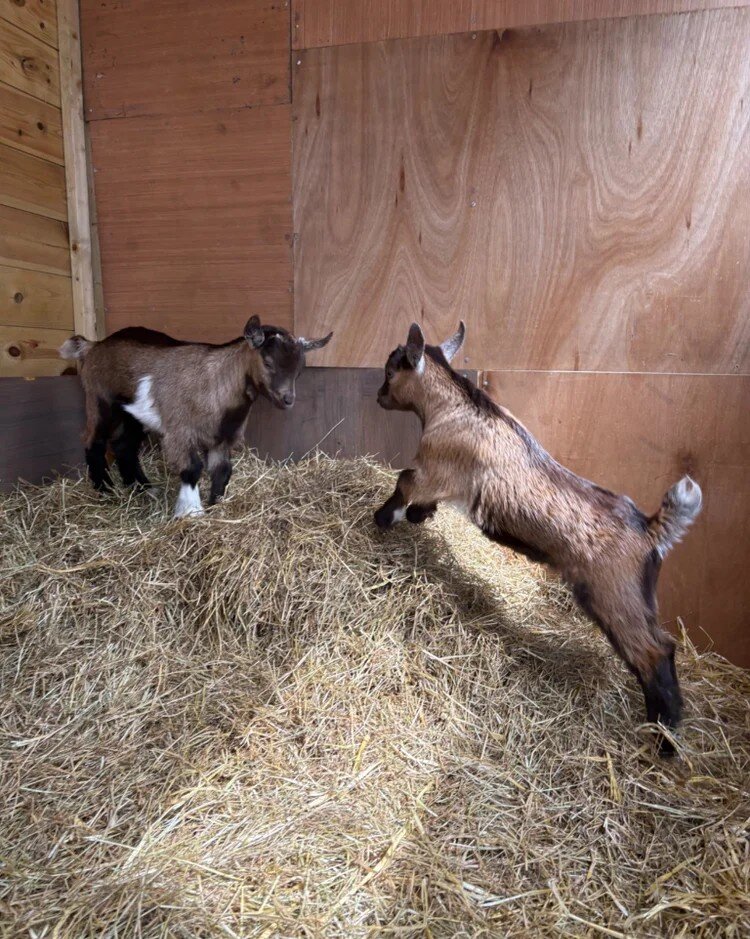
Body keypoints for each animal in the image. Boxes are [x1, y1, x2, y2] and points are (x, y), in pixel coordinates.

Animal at [60, 317, 332, 517]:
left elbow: (223, 470)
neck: (216, 382)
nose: (288, 399)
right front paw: (190, 511)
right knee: (93, 440)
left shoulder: (221, 438)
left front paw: (215, 506)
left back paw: (143, 489)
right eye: (268, 362)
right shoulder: (180, 433)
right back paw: (105, 491)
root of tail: (92, 346)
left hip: (132, 414)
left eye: (300, 368)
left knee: (123, 445)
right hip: (100, 400)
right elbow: (192, 468)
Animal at [374, 321, 702, 754]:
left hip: (614, 597)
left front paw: (384, 517)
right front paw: (418, 516)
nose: (378, 396)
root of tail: (650, 529)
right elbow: (423, 500)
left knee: (654, 652)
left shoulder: (433, 468)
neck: (455, 406)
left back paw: (664, 737)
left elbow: (404, 482)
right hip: (639, 598)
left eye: (391, 370)